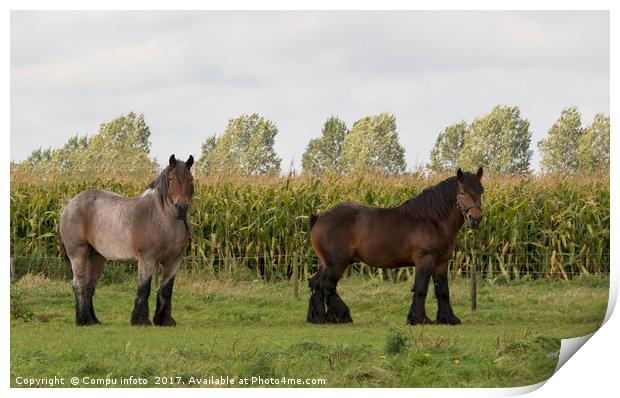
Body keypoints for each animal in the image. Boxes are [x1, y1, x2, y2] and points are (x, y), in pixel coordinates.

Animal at [58, 154, 194, 324]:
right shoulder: (147, 259)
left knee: (89, 286)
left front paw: (165, 321)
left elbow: (166, 290)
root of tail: (69, 204)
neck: (162, 220)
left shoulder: (174, 261)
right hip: (78, 254)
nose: (181, 208)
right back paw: (84, 320)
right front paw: (140, 320)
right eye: (171, 179)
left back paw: (94, 321)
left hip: (96, 257)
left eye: (191, 179)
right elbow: (144, 288)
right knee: (79, 285)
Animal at [306, 168, 484, 326]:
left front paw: (448, 319)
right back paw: (340, 315)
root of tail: (320, 218)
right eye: (462, 192)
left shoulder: (441, 262)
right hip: (336, 263)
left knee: (317, 284)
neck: (432, 220)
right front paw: (419, 319)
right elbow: (421, 289)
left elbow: (442, 291)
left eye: (481, 191)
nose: (475, 219)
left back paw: (319, 317)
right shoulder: (424, 260)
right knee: (327, 286)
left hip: (327, 263)